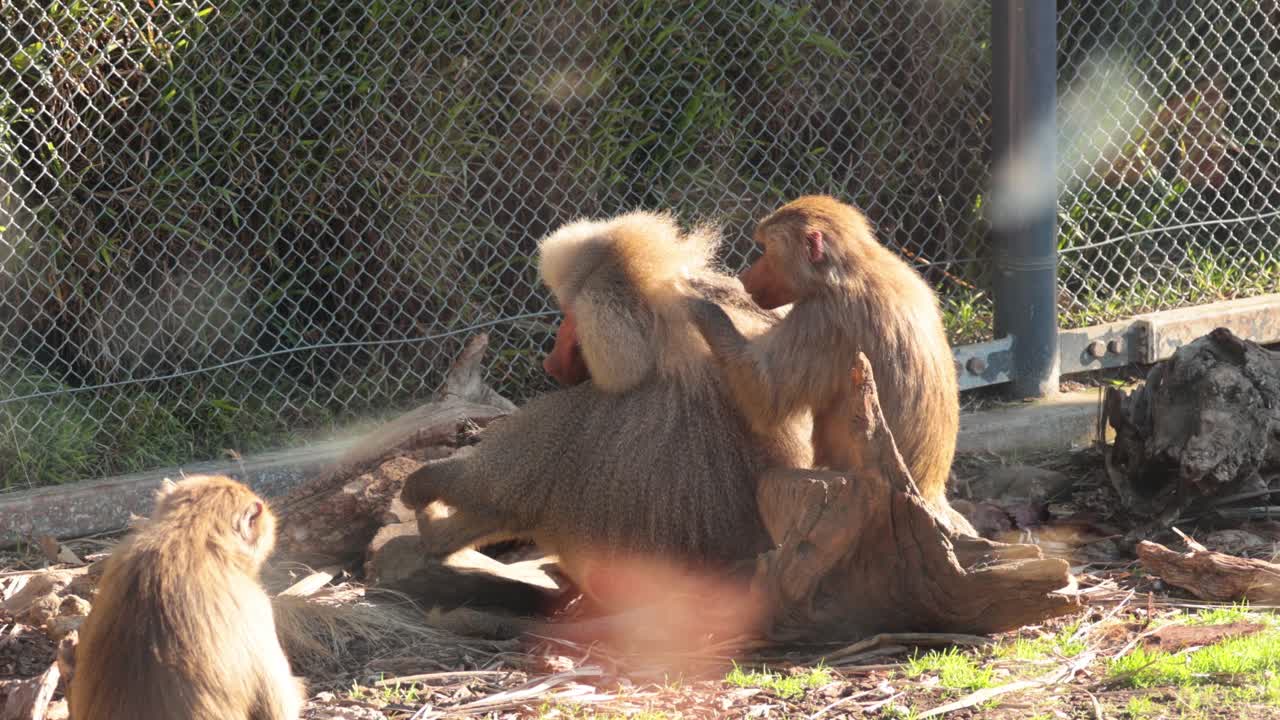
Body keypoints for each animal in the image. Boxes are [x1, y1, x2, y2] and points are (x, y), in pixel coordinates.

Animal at [401, 211, 813, 610]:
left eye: (570, 317)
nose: (550, 360)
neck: (667, 343)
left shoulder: (570, 416)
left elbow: (490, 491)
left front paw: (419, 485)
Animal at [685, 196, 969, 525]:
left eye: (766, 250)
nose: (745, 279)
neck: (852, 268)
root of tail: (929, 492)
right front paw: (718, 288)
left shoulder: (822, 318)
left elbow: (765, 397)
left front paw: (702, 304)